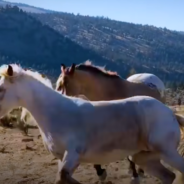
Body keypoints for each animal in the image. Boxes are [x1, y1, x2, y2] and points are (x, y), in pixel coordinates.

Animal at [0, 63, 184, 184]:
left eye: (1, 89)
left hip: (167, 152)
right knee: (169, 176)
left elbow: (63, 177)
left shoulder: (73, 154)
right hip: (143, 157)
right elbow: (61, 178)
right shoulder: (62, 158)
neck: (56, 112)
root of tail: (170, 113)